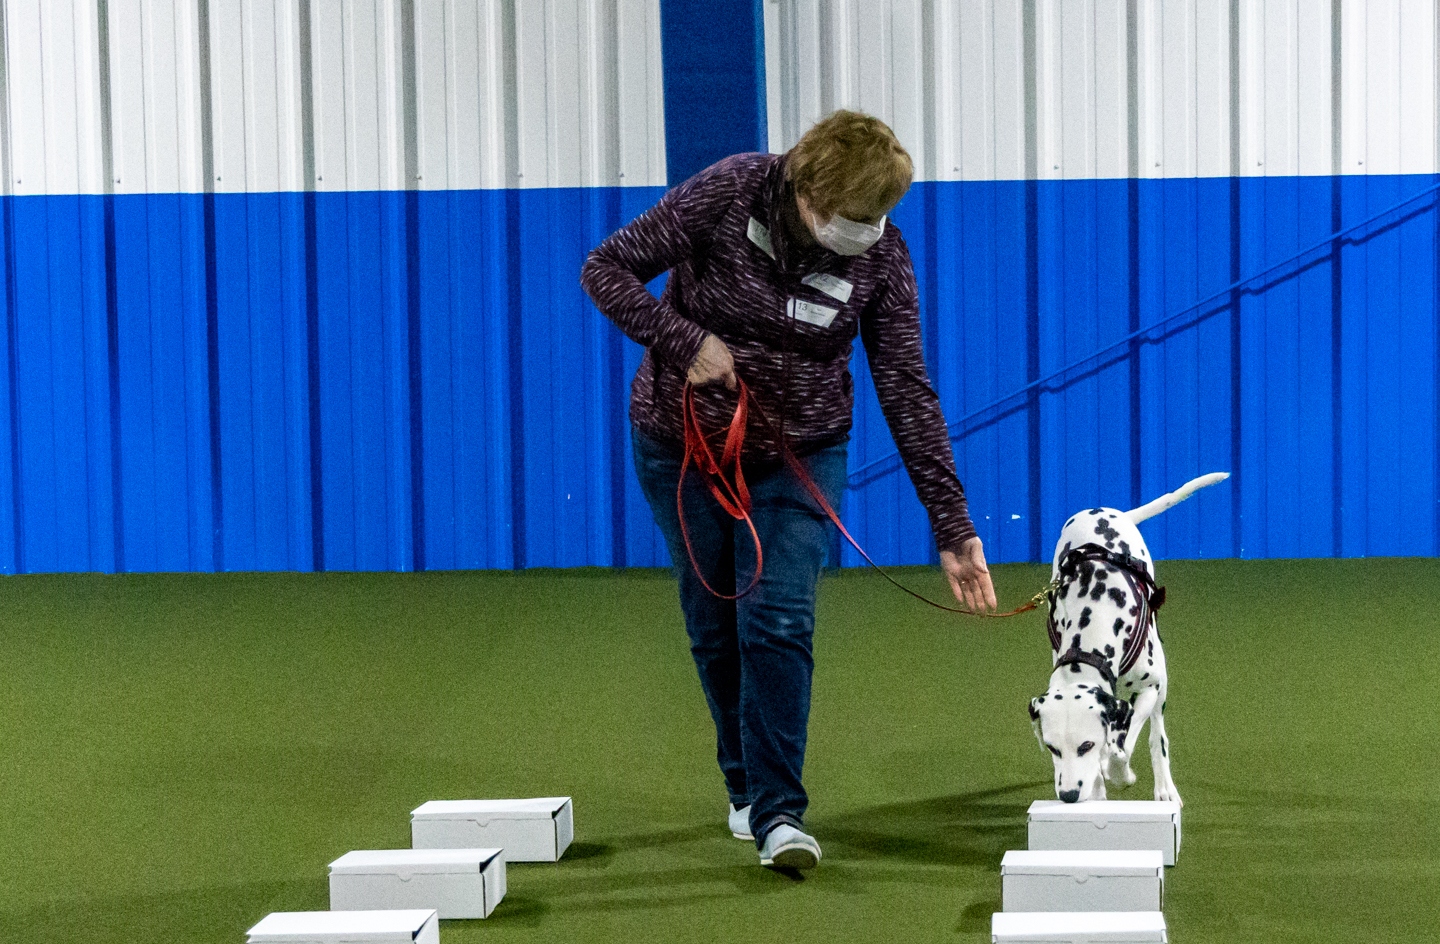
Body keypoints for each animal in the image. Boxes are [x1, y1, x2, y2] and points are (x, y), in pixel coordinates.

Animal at [1028, 472, 1228, 806]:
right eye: (1053, 748)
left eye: (1085, 745)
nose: (1068, 796)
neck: (1096, 609)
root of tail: (1109, 511)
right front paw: (1098, 788)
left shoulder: (1149, 688)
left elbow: (1123, 746)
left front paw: (1121, 773)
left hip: (1161, 680)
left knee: (1157, 735)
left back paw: (1164, 787)